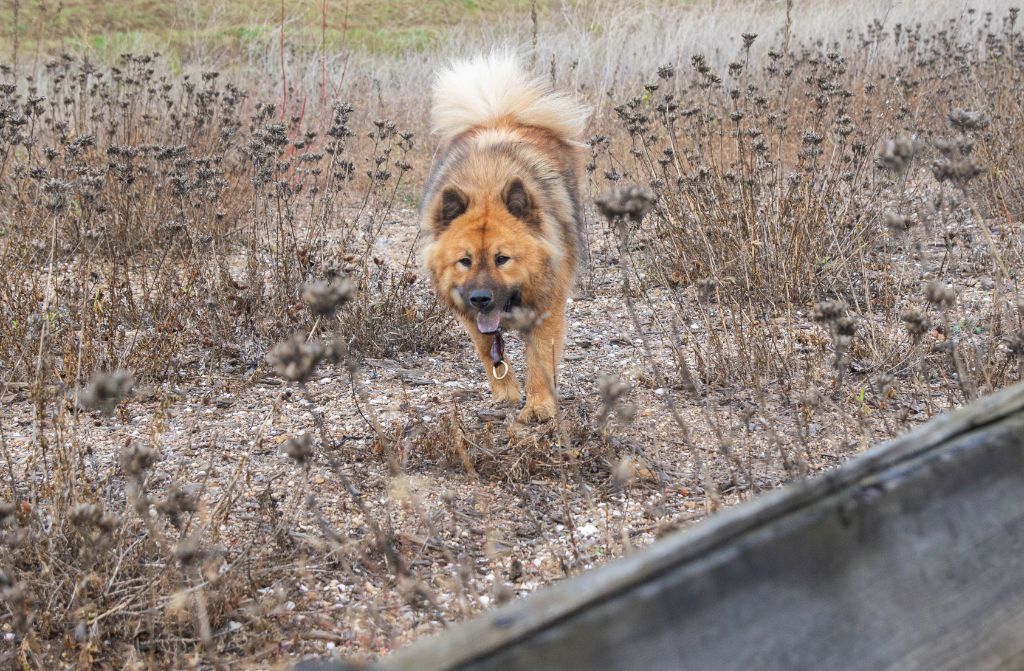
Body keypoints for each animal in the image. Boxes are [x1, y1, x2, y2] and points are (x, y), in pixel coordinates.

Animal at [417, 52, 593, 422]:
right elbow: (489, 350)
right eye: (465, 261)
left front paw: (539, 405)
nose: (481, 298)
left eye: (502, 259)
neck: (487, 185)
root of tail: (501, 115)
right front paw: (506, 393)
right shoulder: (469, 315)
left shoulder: (547, 309)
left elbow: (539, 362)